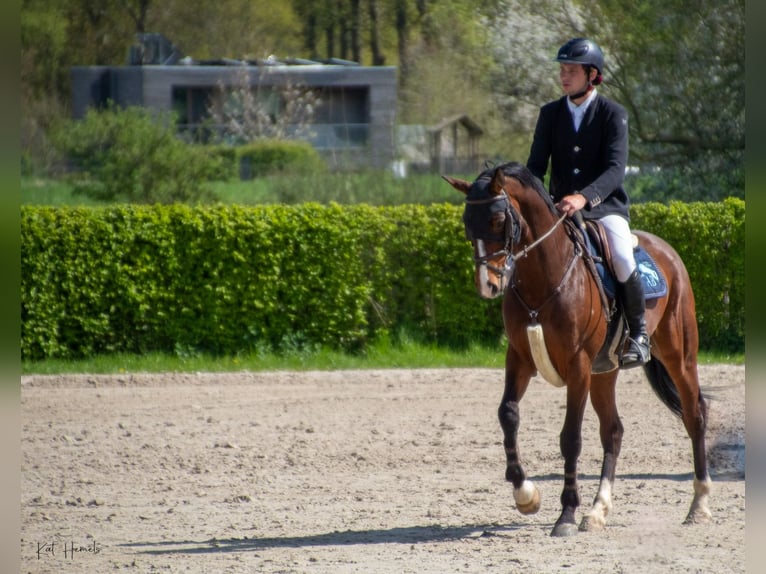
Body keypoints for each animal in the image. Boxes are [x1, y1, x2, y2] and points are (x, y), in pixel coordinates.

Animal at [444, 163, 712, 540]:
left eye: (497, 221)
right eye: (468, 223)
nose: (488, 286)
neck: (543, 277)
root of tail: (665, 249)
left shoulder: (578, 365)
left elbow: (570, 437)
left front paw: (567, 514)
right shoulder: (520, 358)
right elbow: (507, 414)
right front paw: (525, 495)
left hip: (679, 355)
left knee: (694, 416)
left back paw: (699, 505)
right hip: (605, 372)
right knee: (613, 432)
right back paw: (598, 511)